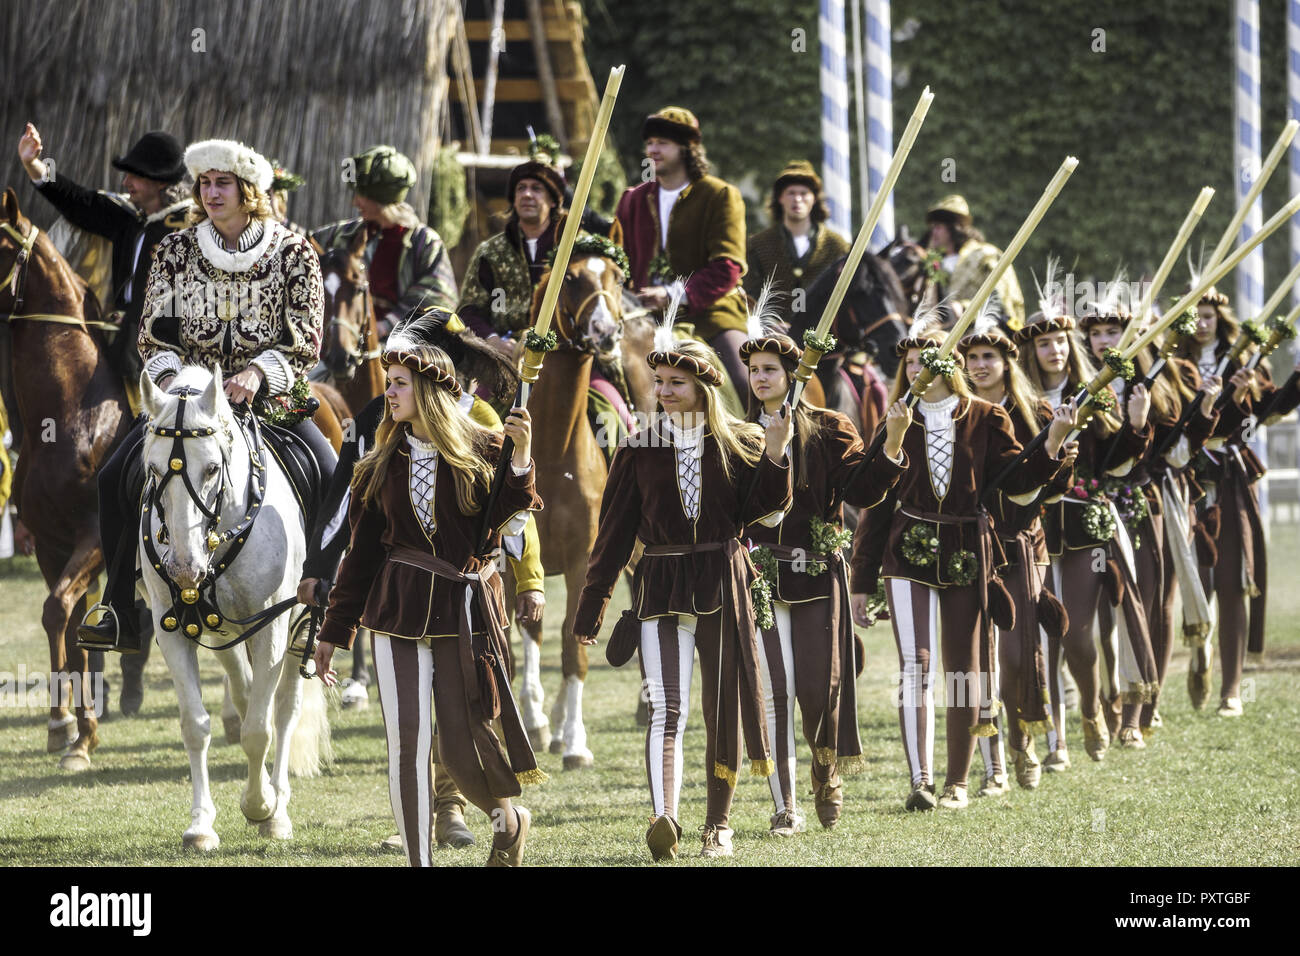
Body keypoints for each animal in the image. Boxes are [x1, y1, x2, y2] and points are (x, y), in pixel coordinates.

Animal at [135, 366, 330, 853]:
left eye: (211, 467)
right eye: (152, 469)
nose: (184, 570)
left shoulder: (273, 628)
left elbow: (261, 727)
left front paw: (262, 808)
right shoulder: (171, 628)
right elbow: (195, 725)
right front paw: (201, 825)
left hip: (296, 632)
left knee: (283, 710)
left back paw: (277, 805)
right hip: (221, 631)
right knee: (243, 694)